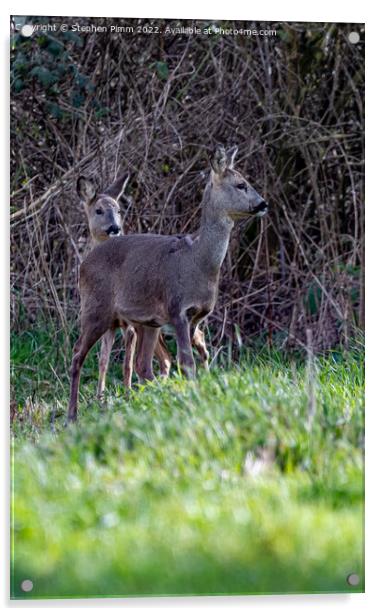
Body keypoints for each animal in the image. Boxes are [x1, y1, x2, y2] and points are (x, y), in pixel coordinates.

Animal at [77, 171, 208, 398]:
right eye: (98, 210)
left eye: (118, 210)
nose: (115, 228)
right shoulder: (114, 321)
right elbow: (103, 360)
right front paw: (99, 397)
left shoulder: (129, 324)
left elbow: (127, 363)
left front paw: (127, 393)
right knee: (167, 357)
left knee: (196, 340)